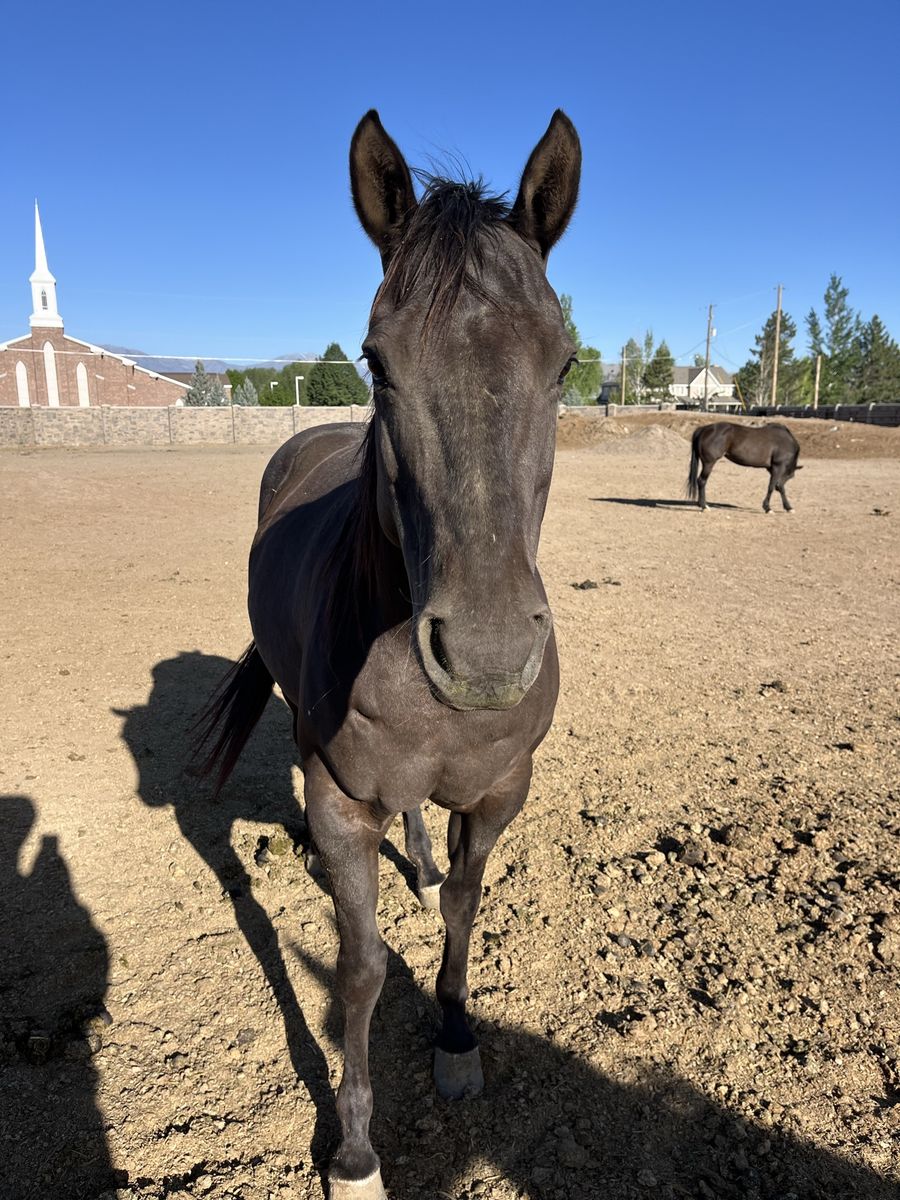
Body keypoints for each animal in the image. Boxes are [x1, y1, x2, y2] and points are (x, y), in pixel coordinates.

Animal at [195, 109, 581, 1198]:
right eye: (376, 360)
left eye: (565, 365)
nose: (489, 655)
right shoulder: (340, 800)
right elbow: (361, 969)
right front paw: (358, 1151)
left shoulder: (500, 791)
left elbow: (462, 909)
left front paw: (455, 1038)